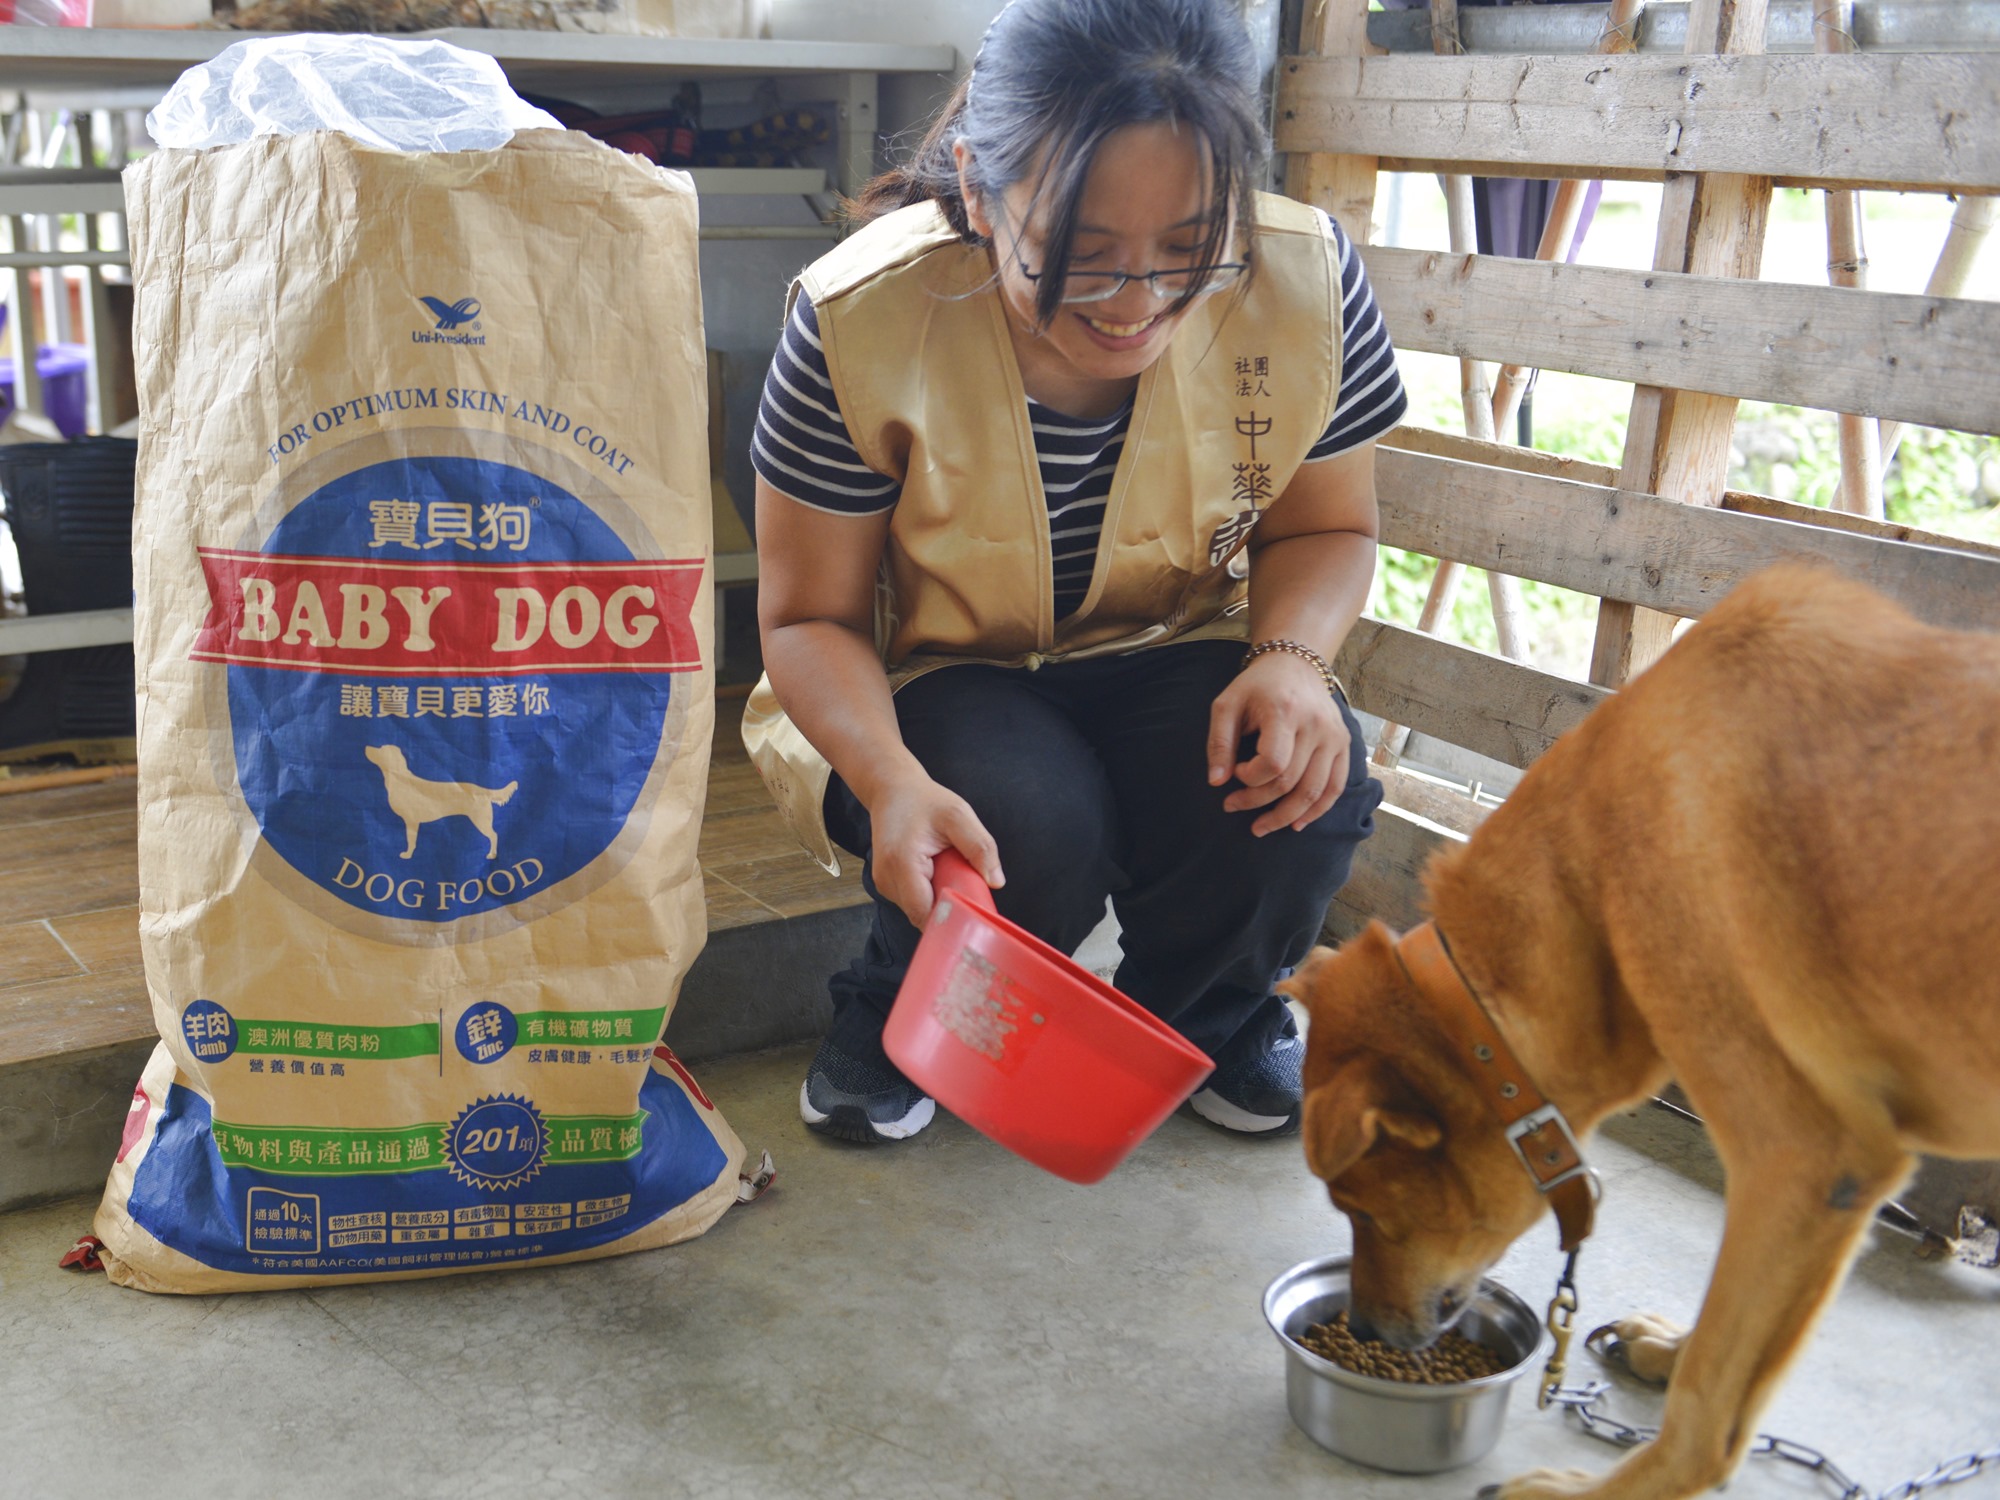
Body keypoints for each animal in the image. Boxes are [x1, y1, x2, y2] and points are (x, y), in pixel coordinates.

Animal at [1280, 568, 2000, 1500]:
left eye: (1360, 1206)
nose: (1363, 1329)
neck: (1598, 872)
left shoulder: (1808, 1159)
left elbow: (1709, 1409)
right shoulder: (1810, 1197)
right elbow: (1729, 1351)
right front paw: (1672, 1348)